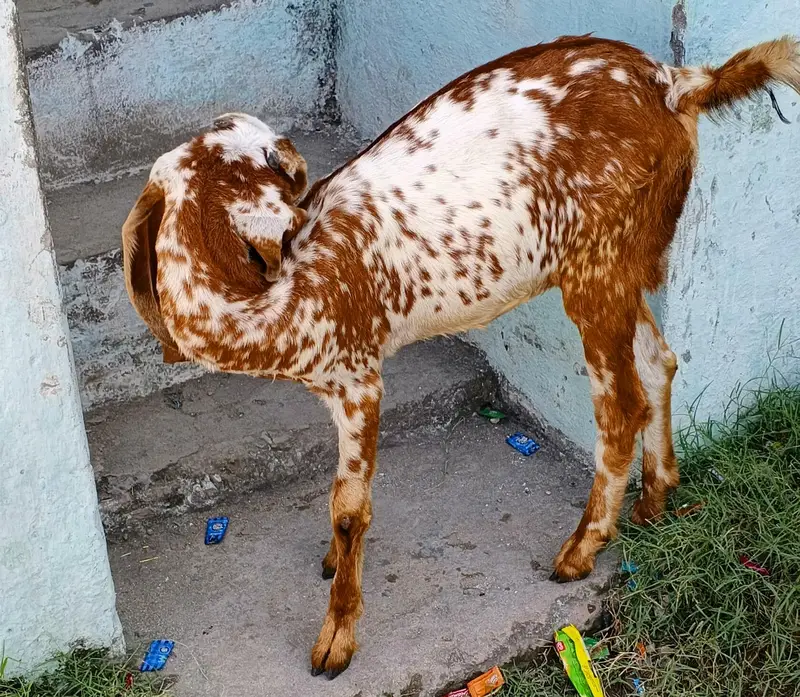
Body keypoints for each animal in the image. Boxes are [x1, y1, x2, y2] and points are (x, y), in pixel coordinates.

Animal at [122, 35, 800, 678]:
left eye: (267, 156)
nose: (279, 141)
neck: (272, 294)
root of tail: (674, 82)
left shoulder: (358, 379)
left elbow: (349, 509)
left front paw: (337, 637)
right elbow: (338, 496)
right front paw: (334, 564)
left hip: (598, 262)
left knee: (621, 409)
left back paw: (581, 551)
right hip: (623, 258)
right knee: (661, 360)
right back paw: (656, 501)